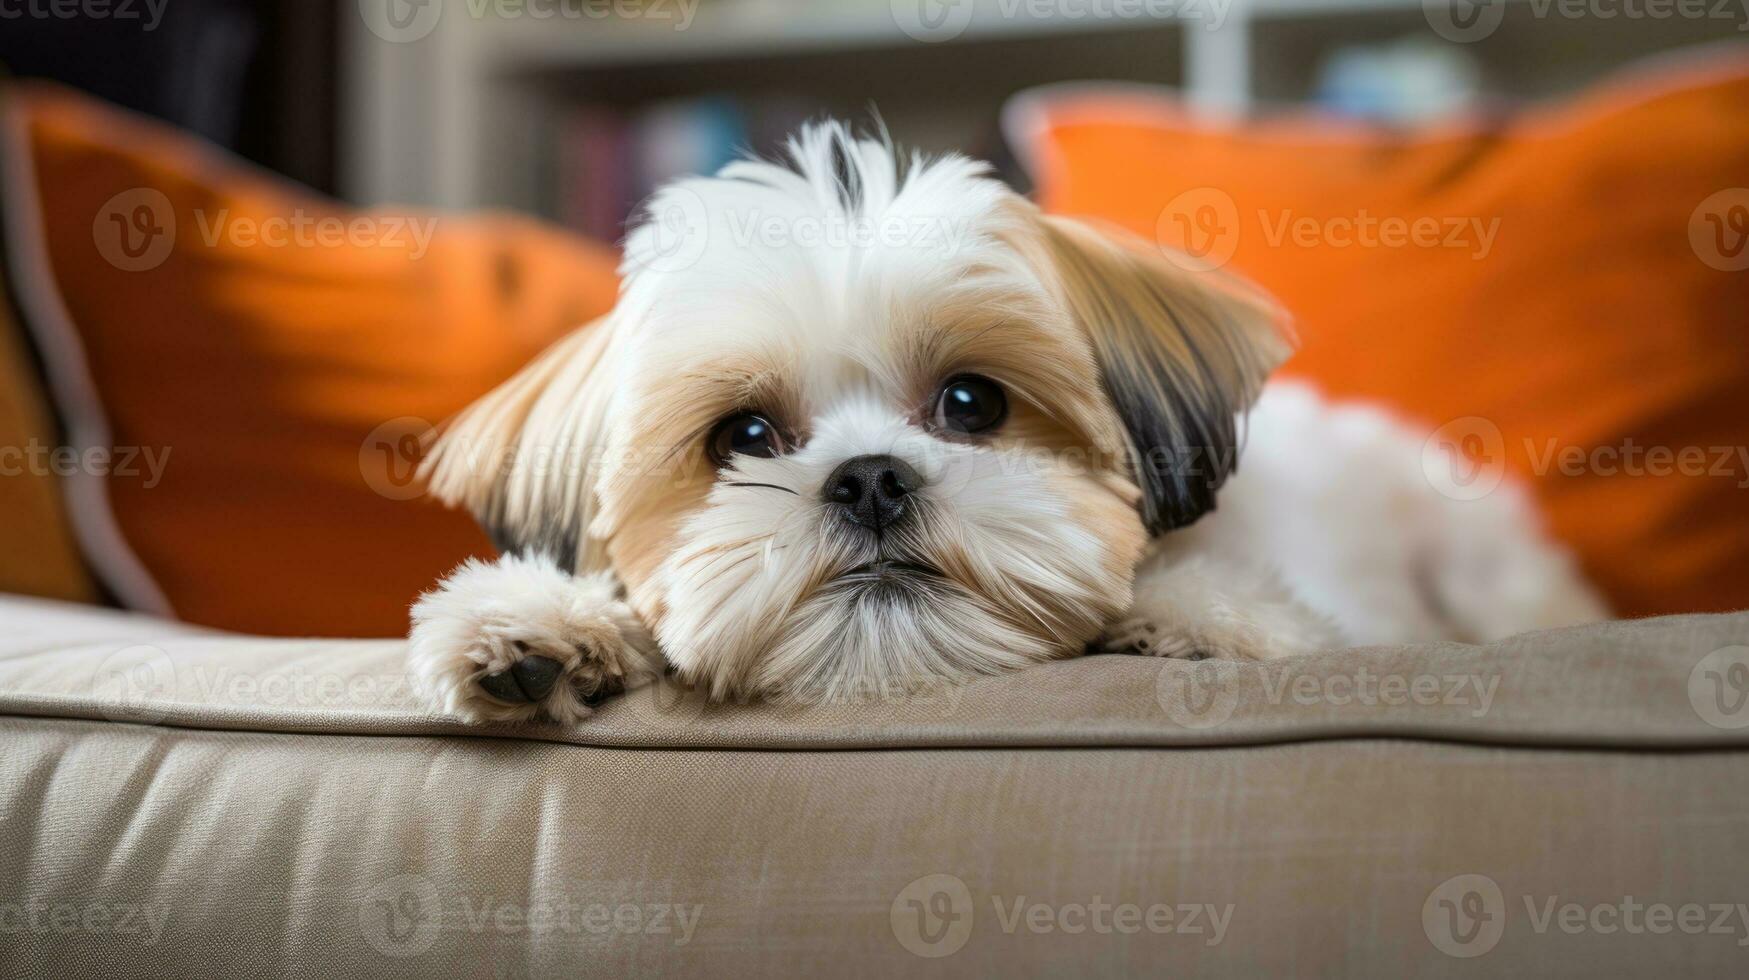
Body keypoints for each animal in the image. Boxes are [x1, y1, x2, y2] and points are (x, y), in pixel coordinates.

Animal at [402, 120, 1602, 721]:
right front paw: (549, 628)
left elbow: (1258, 613)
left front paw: (1186, 616)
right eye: (743, 437)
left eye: (972, 402)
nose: (870, 476)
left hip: (1476, 564)